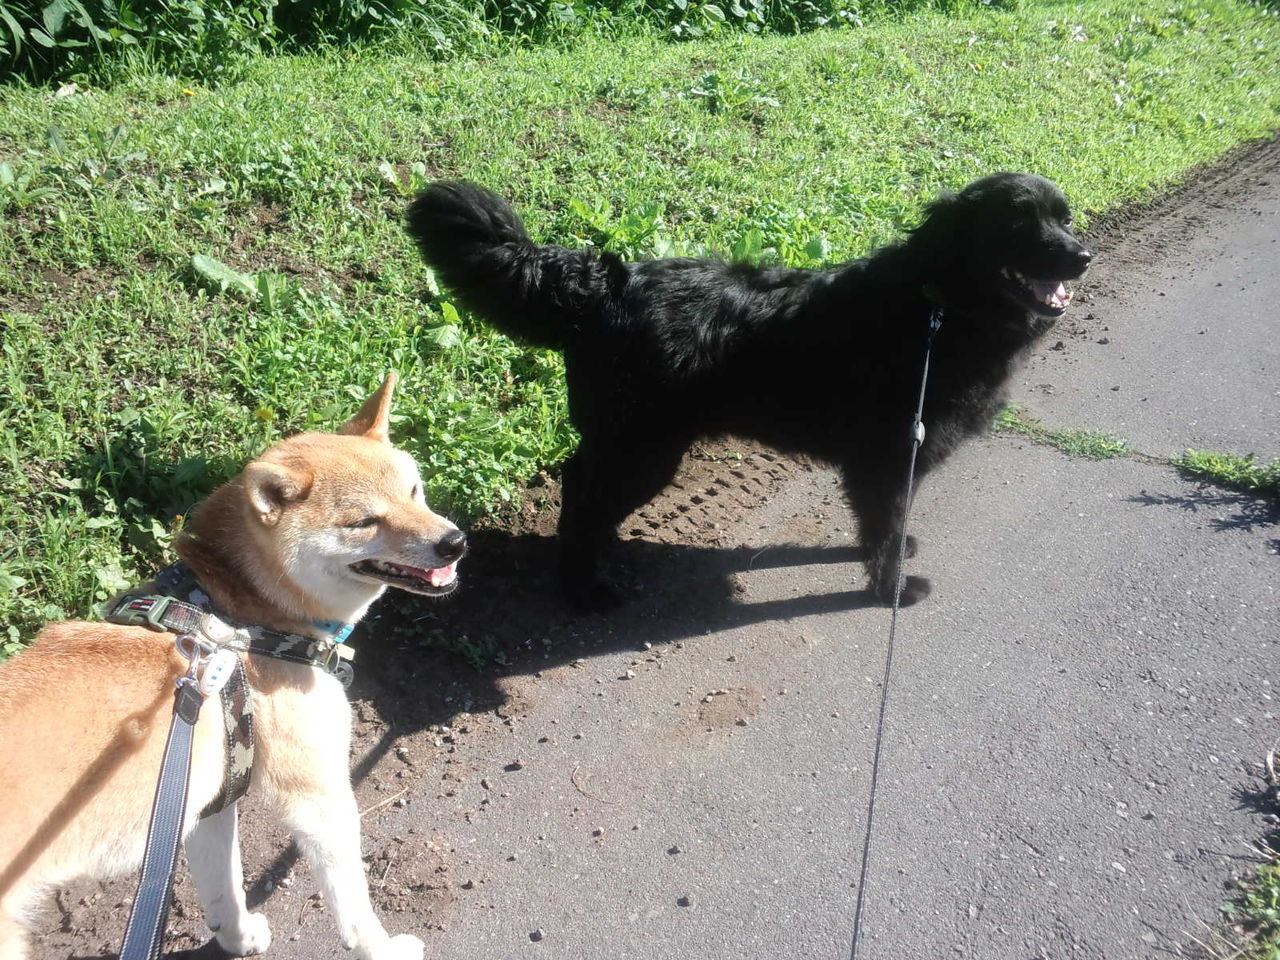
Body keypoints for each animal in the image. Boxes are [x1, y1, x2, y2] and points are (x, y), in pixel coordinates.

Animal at [0, 374, 465, 960]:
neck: (245, 618)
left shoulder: (206, 802)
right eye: (365, 522)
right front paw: (383, 950)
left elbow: (225, 887)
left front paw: (238, 936)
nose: (454, 542)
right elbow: (353, 908)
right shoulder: (317, 799)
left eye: (413, 492)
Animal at [405, 173, 1090, 610]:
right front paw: (890, 589)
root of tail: (602, 279)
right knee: (580, 497)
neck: (939, 306)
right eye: (1017, 222)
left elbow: (888, 524)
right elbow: (885, 529)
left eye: (1064, 217)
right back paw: (583, 589)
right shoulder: (887, 457)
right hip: (643, 450)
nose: (1082, 256)